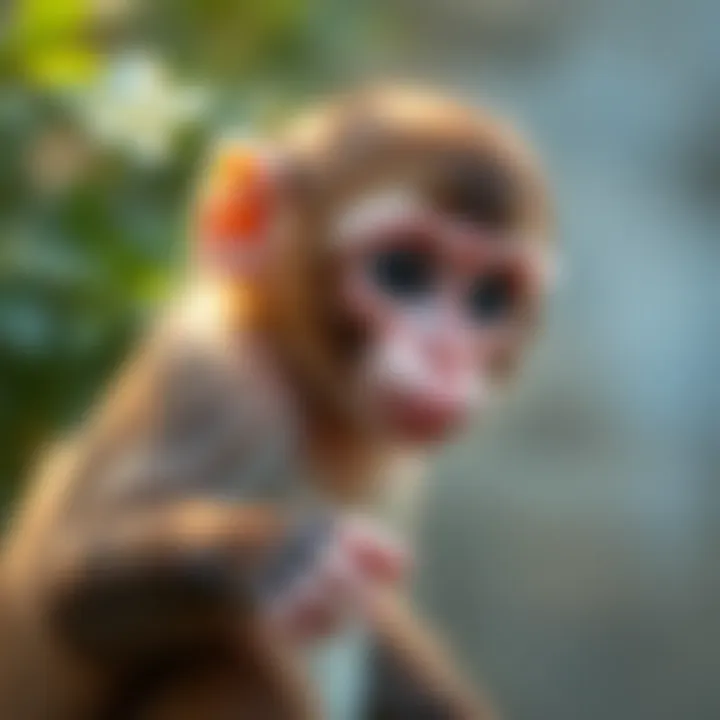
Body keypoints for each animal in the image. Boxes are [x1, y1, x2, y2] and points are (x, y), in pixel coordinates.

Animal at [0, 85, 553, 719]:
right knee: (233, 666)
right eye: (403, 270)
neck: (308, 396)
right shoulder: (215, 389)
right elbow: (64, 591)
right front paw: (280, 560)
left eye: (489, 296)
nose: (444, 356)